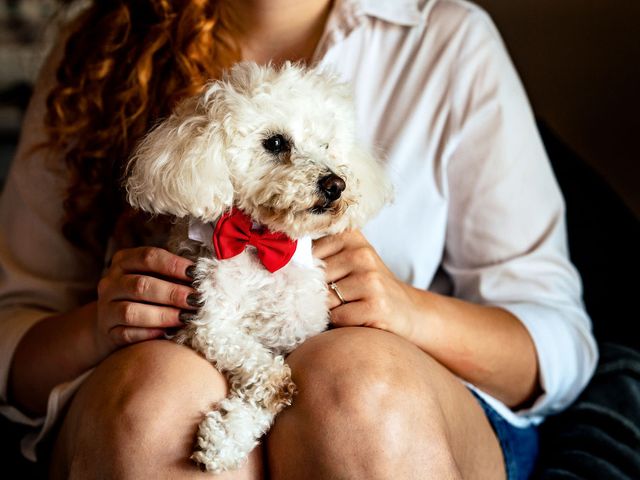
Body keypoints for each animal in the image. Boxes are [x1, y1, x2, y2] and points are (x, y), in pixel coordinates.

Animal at [123, 62, 392, 474]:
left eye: (327, 145)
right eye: (277, 143)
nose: (336, 184)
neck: (262, 247)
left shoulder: (294, 334)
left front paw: (226, 436)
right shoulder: (206, 321)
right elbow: (260, 365)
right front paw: (234, 429)